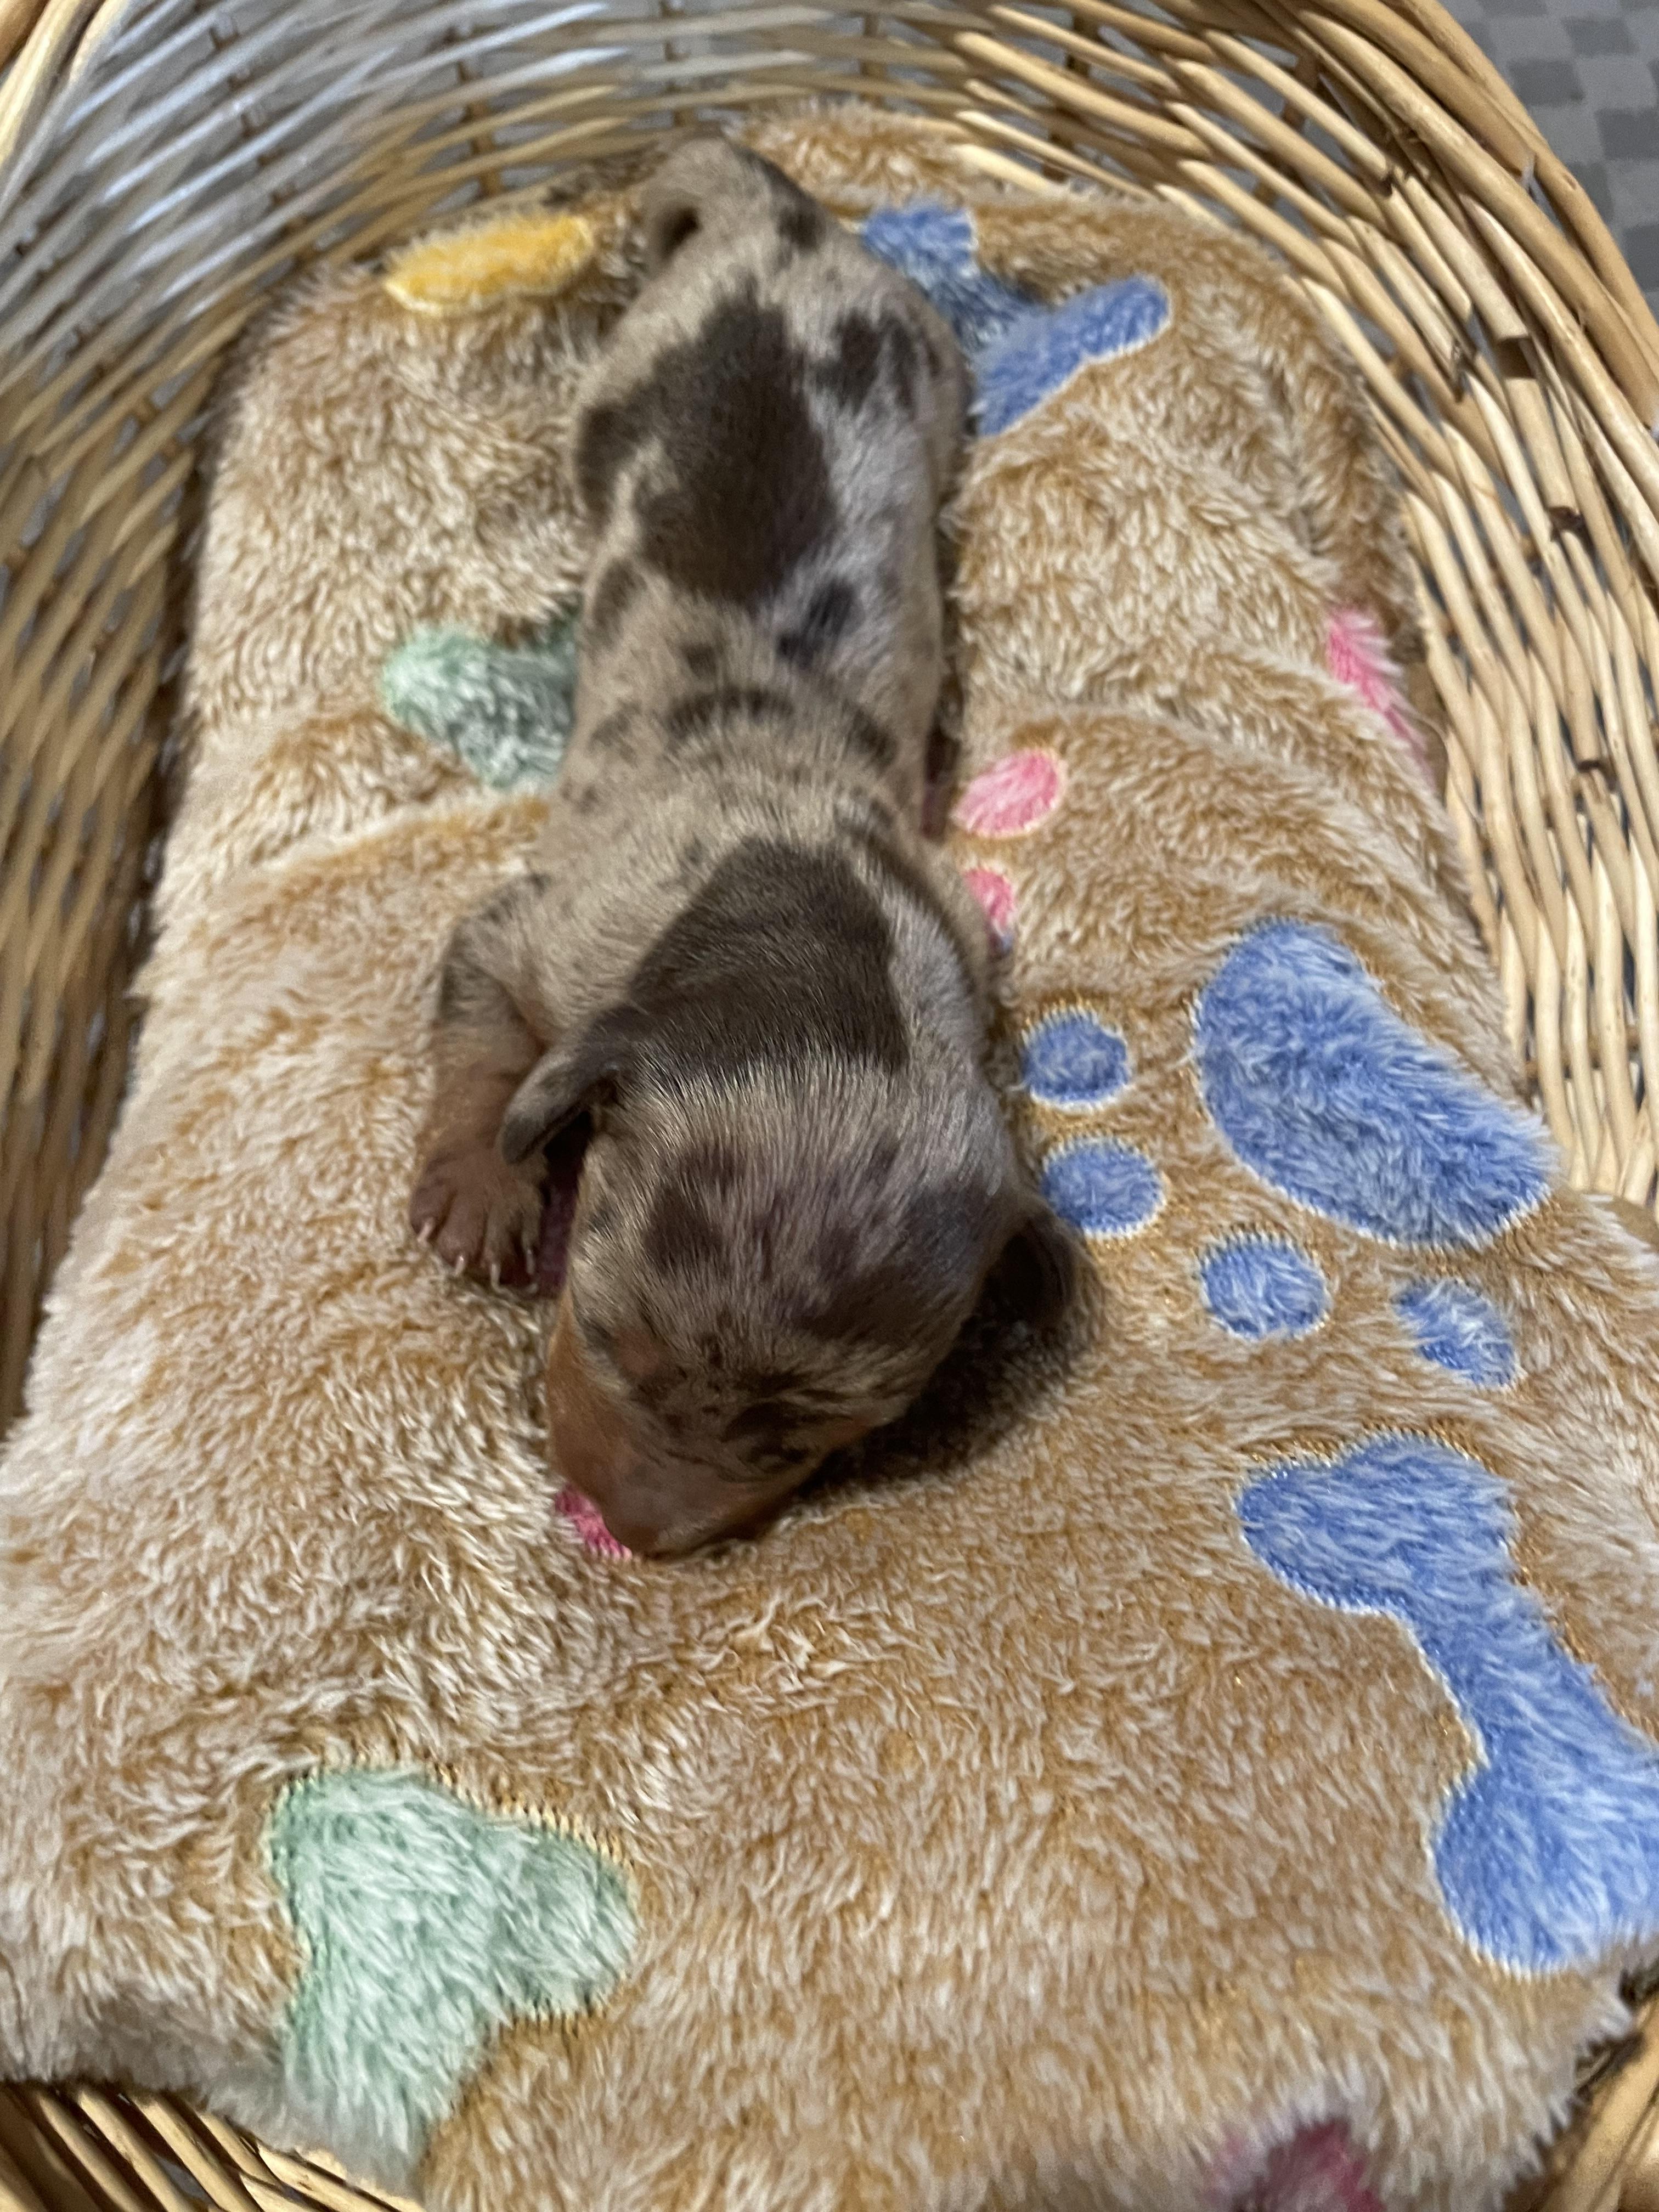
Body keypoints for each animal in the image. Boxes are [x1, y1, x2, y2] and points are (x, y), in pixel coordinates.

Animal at [410, 138, 1046, 1556]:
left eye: (814, 1440)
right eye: (599, 1328)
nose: (637, 1535)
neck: (801, 911)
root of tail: (787, 223)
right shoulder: (548, 927)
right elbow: (485, 1035)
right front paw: (480, 1187)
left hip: (927, 359)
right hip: (625, 383)